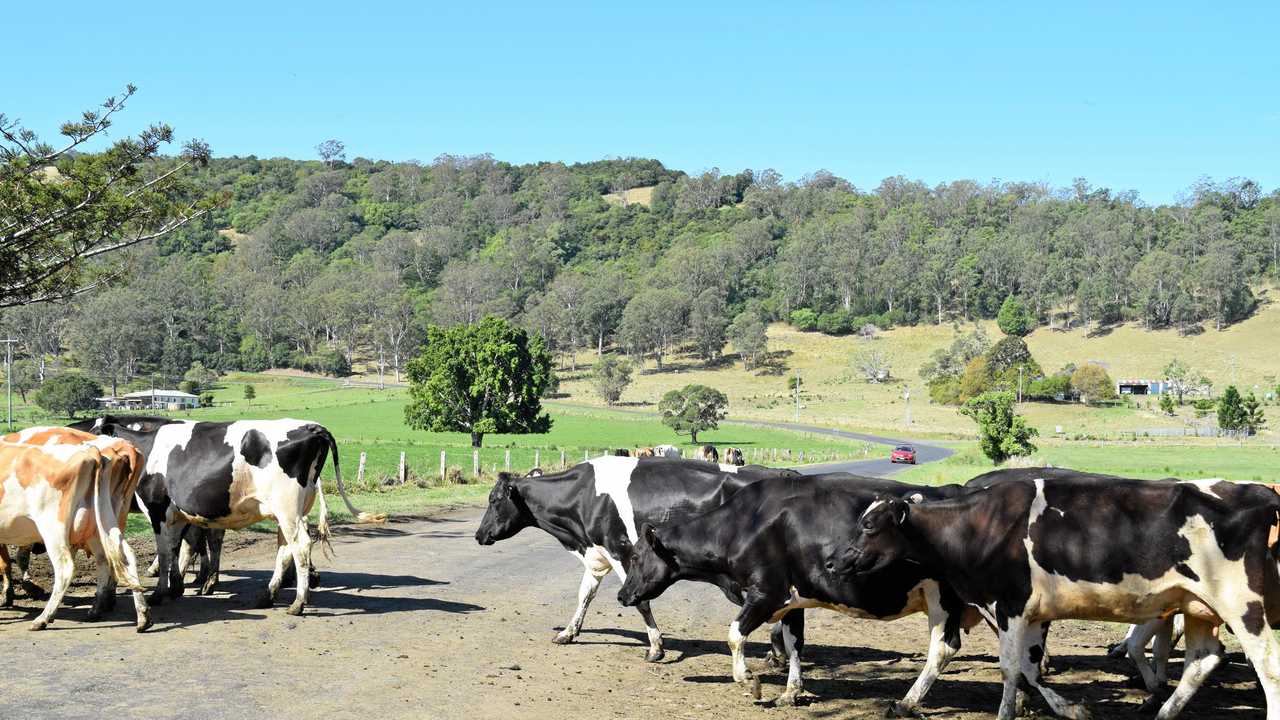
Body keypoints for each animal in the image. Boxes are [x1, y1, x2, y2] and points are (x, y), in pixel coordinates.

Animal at [80, 415, 373, 609]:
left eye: (92, 433)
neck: (147, 448)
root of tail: (313, 426)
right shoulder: (177, 514)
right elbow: (176, 549)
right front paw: (176, 587)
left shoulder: (157, 508)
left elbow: (165, 552)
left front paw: (160, 593)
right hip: (292, 510)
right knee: (284, 550)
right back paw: (268, 595)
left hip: (288, 509)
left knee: (299, 546)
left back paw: (299, 602)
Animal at [476, 456, 798, 661]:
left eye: (494, 500)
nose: (479, 534)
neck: (583, 497)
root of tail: (780, 473)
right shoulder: (597, 552)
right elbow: (584, 594)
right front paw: (568, 632)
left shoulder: (621, 551)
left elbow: (640, 601)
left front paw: (656, 648)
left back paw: (777, 650)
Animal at [614, 474, 962, 702]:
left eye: (636, 556)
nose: (621, 595)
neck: (745, 524)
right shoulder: (795, 598)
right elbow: (795, 642)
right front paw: (792, 691)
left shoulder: (767, 593)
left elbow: (735, 635)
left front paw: (749, 682)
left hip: (943, 598)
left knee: (943, 648)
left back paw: (909, 702)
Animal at [834, 471, 1280, 717]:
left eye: (869, 525)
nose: (835, 561)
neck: (980, 525)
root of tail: (1261, 494)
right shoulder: (1028, 614)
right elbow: (1029, 669)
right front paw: (1072, 709)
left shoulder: (1010, 605)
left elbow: (1010, 669)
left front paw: (1006, 715)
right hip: (1199, 608)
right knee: (1202, 662)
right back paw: (1163, 712)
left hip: (1243, 607)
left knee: (1268, 667)